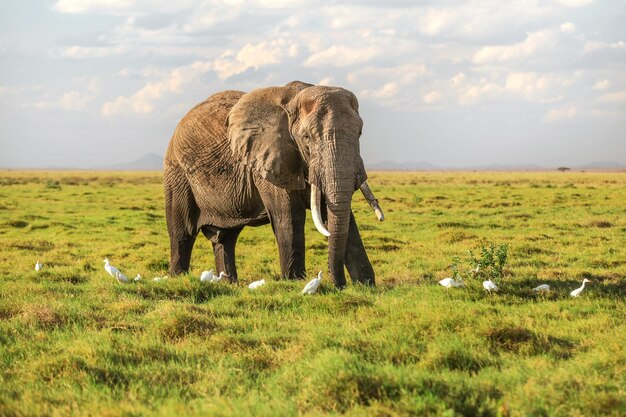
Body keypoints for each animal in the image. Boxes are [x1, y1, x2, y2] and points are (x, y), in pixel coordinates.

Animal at [163, 79, 382, 288]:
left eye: (360, 133)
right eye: (306, 137)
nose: (339, 285)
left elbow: (338, 215)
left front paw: (365, 286)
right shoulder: (268, 160)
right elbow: (290, 217)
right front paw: (295, 283)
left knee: (226, 238)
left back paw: (229, 284)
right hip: (177, 174)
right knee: (182, 234)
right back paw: (178, 279)